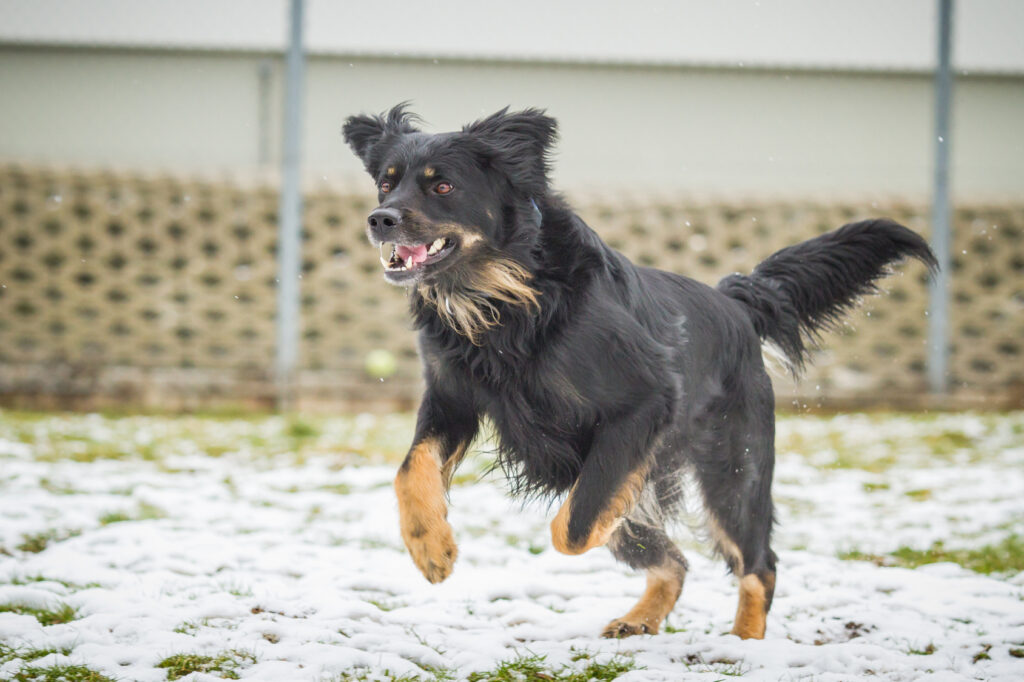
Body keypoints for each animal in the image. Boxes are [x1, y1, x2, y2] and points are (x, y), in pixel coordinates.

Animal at [342, 104, 937, 638]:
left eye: (442, 186)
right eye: (386, 186)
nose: (379, 220)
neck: (506, 295)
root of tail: (736, 303)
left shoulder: (645, 402)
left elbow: (574, 525)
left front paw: (597, 519)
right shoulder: (452, 398)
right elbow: (411, 469)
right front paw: (430, 547)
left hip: (734, 470)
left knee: (757, 563)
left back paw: (744, 644)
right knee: (678, 562)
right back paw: (641, 618)